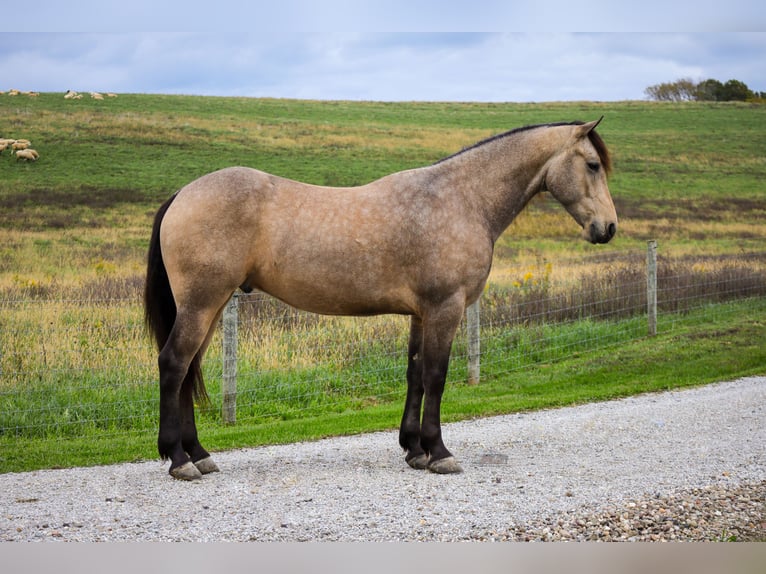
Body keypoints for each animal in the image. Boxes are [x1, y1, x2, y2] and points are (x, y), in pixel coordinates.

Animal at [144, 118, 617, 480]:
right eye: (593, 165)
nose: (608, 228)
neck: (461, 199)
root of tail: (183, 194)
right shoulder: (446, 308)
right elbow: (437, 377)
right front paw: (439, 452)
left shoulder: (422, 313)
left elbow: (415, 375)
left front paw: (414, 449)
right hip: (202, 303)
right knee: (174, 364)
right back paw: (179, 459)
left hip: (211, 306)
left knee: (188, 370)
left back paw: (200, 454)